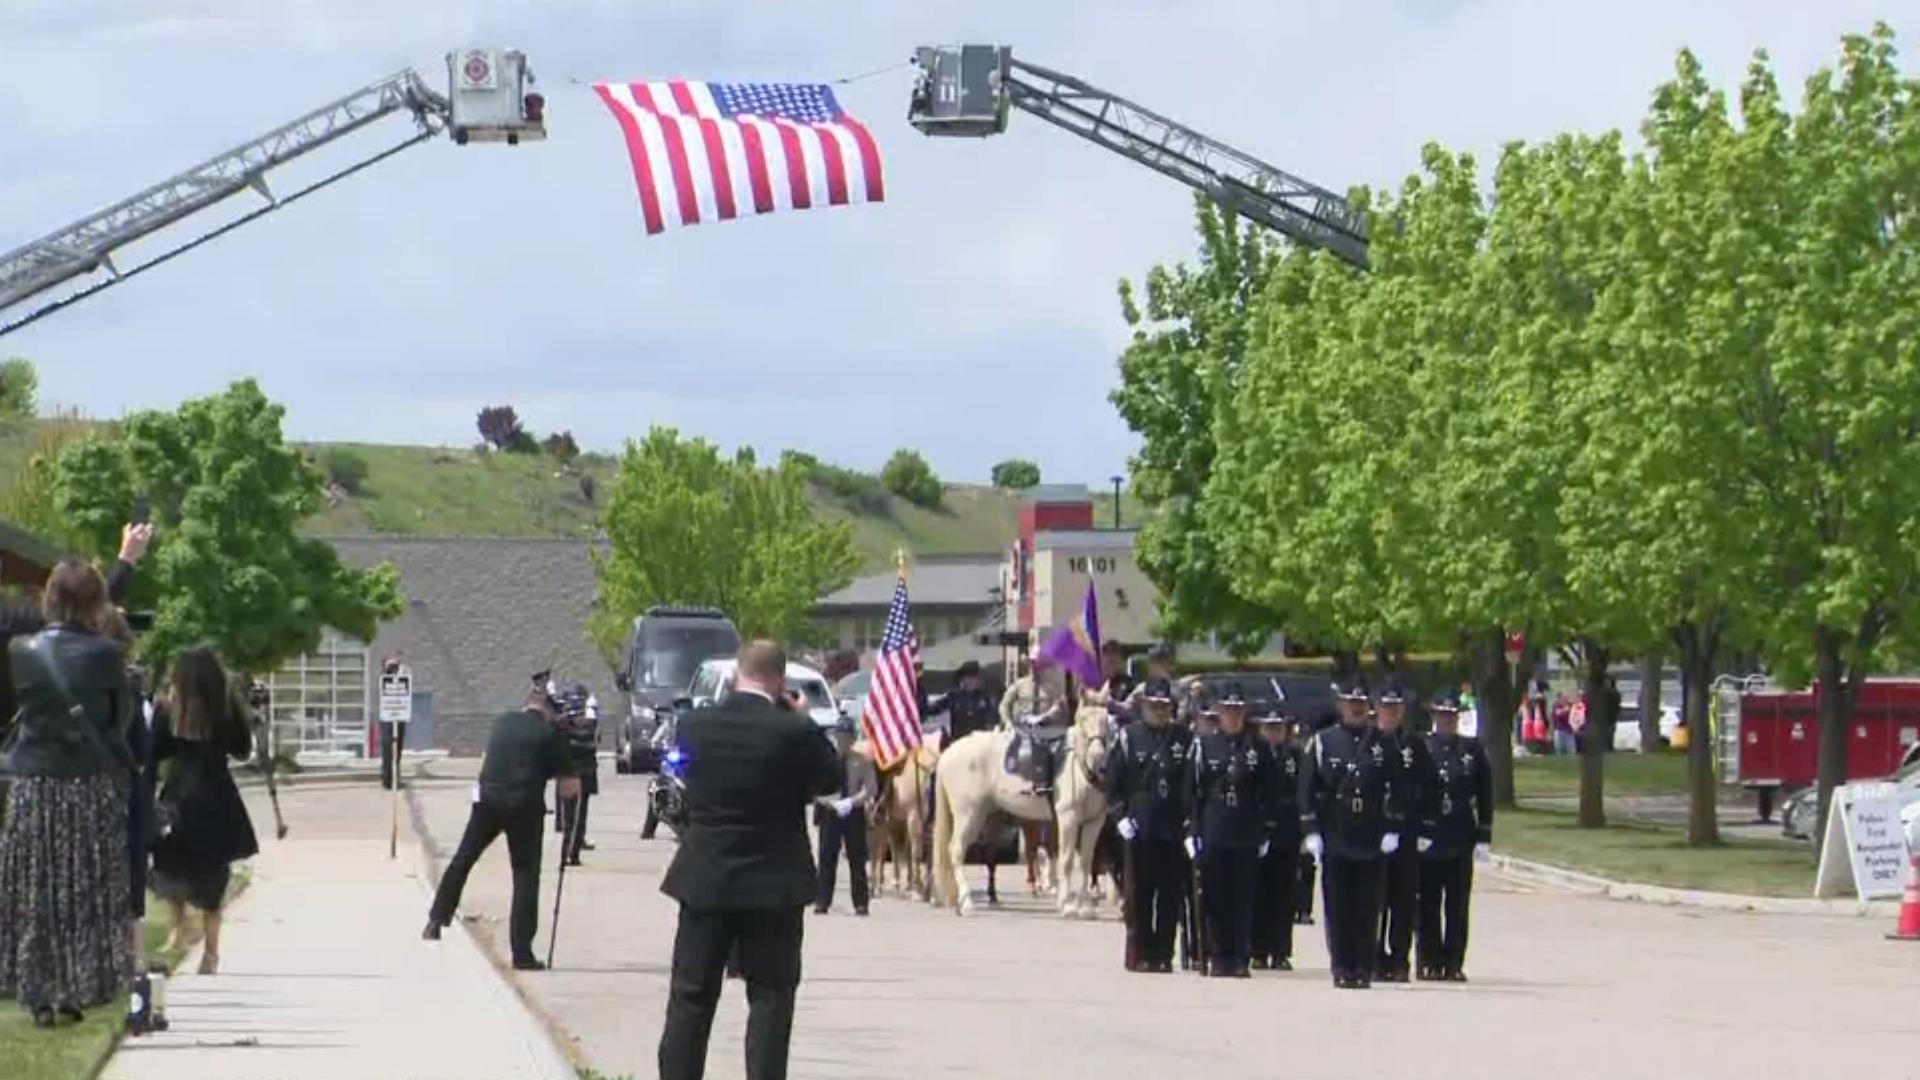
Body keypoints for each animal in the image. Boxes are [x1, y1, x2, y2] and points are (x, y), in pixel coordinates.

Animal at [933, 699, 1113, 914]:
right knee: (956, 850)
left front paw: (1085, 907)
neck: (1078, 766)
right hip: (968, 814)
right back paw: (967, 901)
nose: (1099, 760)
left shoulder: (1094, 821)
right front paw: (1067, 905)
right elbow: (1067, 859)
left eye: (1106, 722)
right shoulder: (1067, 818)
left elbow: (1085, 860)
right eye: (1082, 721)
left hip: (982, 814)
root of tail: (948, 753)